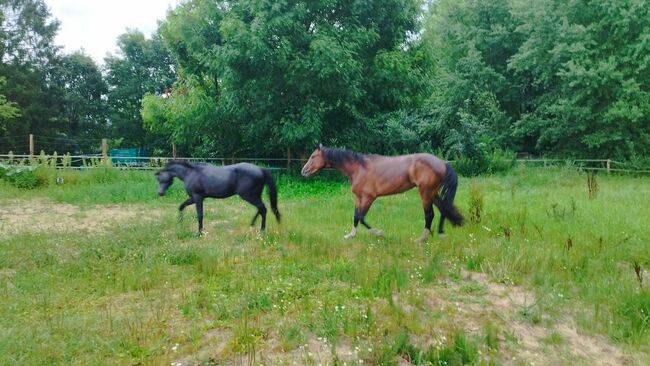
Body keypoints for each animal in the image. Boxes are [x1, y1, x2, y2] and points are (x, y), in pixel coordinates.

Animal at [300, 144, 460, 242]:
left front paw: (378, 233)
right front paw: (351, 235)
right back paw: (440, 234)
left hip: (425, 192)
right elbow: (355, 217)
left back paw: (422, 239)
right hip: (432, 193)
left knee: (430, 214)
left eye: (313, 156)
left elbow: (361, 217)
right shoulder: (358, 197)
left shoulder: (369, 197)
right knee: (444, 209)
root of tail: (442, 163)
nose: (303, 171)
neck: (359, 168)